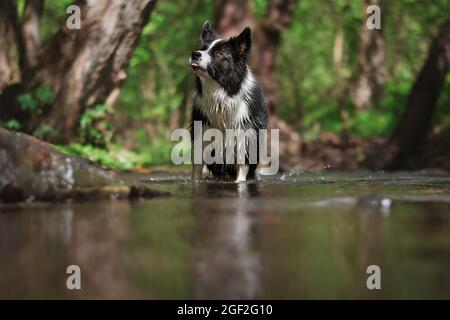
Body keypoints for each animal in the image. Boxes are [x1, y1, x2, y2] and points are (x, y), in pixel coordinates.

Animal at [187, 21, 266, 182]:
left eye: (219, 53)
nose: (194, 54)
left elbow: (242, 170)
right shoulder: (202, 133)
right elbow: (197, 168)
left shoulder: (245, 136)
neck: (222, 95)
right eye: (202, 49)